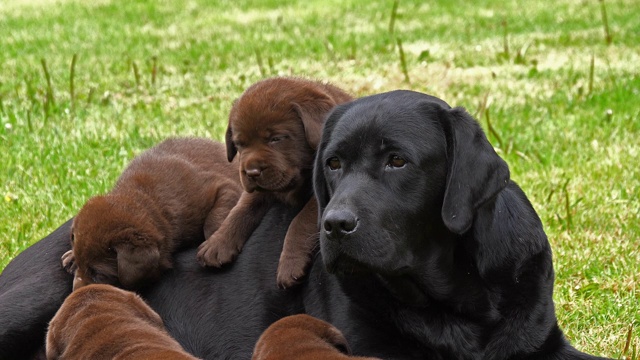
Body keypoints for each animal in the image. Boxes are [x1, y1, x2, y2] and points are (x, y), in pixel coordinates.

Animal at [64, 137, 240, 290]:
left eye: (99, 274)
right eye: (80, 265)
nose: (74, 294)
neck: (144, 197)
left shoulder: (222, 187)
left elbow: (211, 223)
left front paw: (216, 243)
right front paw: (72, 256)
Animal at [198, 76, 352, 286]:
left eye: (276, 139)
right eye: (239, 144)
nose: (252, 172)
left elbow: (300, 221)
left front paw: (290, 264)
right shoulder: (258, 190)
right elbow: (240, 211)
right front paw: (217, 242)